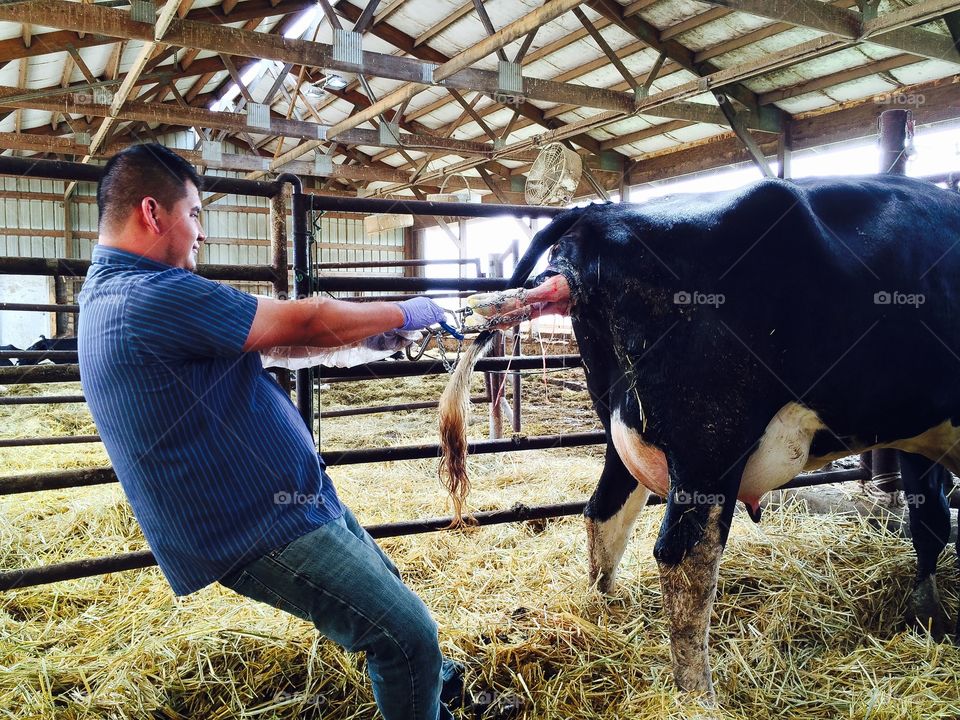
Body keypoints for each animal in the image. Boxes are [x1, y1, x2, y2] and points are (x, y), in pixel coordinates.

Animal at [439, 174, 960, 701]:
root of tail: (598, 214)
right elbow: (934, 517)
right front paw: (932, 616)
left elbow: (928, 516)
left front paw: (926, 611)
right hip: (709, 445)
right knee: (684, 556)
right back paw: (698, 692)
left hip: (623, 429)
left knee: (602, 513)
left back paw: (600, 611)